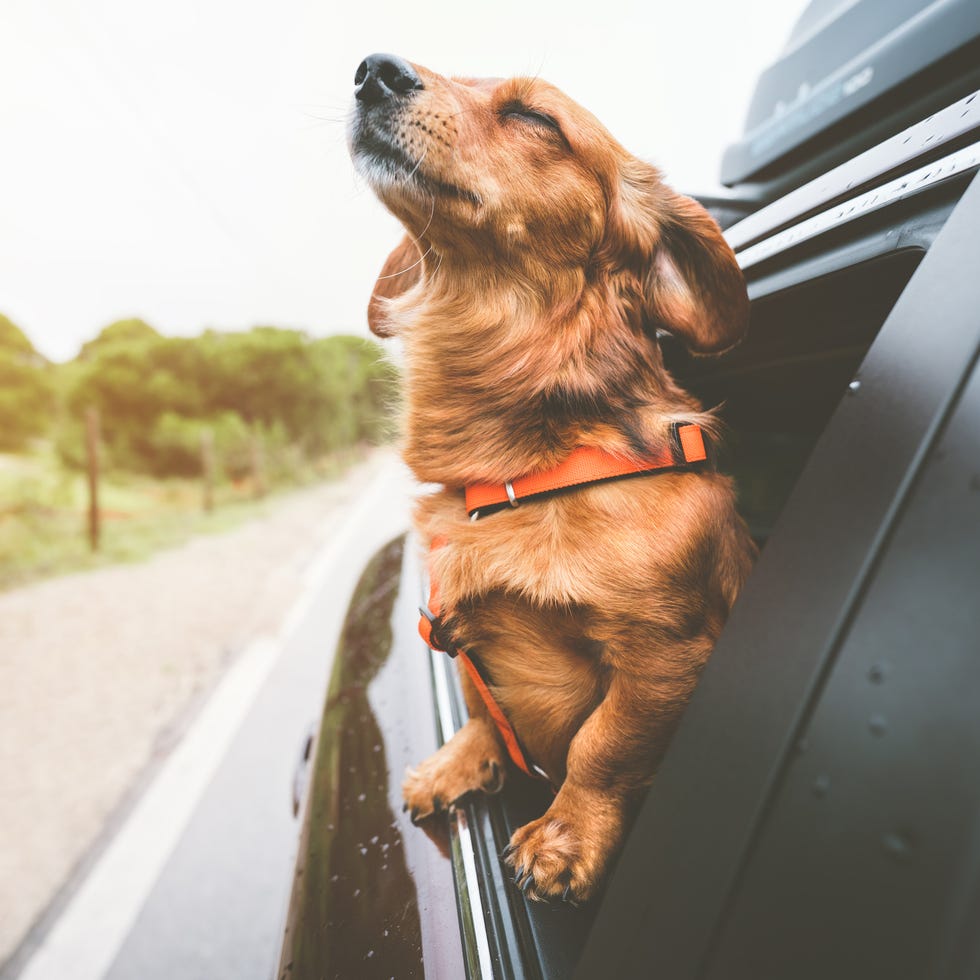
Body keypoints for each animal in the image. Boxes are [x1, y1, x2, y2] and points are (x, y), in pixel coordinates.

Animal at [348, 53, 756, 904]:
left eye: (536, 119)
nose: (373, 69)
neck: (521, 475)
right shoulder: (456, 628)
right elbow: (481, 703)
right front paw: (464, 761)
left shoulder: (665, 655)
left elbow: (604, 746)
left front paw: (567, 836)